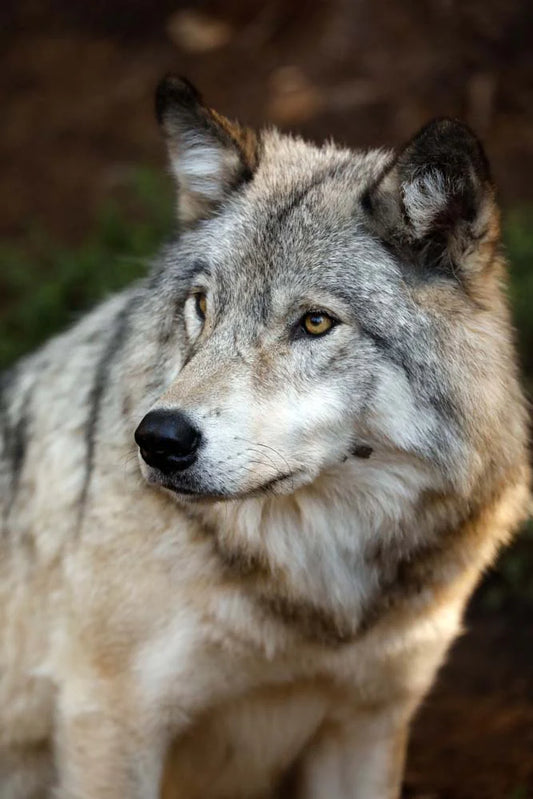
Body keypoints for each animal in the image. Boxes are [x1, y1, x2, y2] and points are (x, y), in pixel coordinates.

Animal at [0, 75, 529, 799]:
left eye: (314, 323)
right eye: (202, 305)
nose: (157, 438)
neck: (316, 589)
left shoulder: (367, 723)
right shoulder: (107, 717)